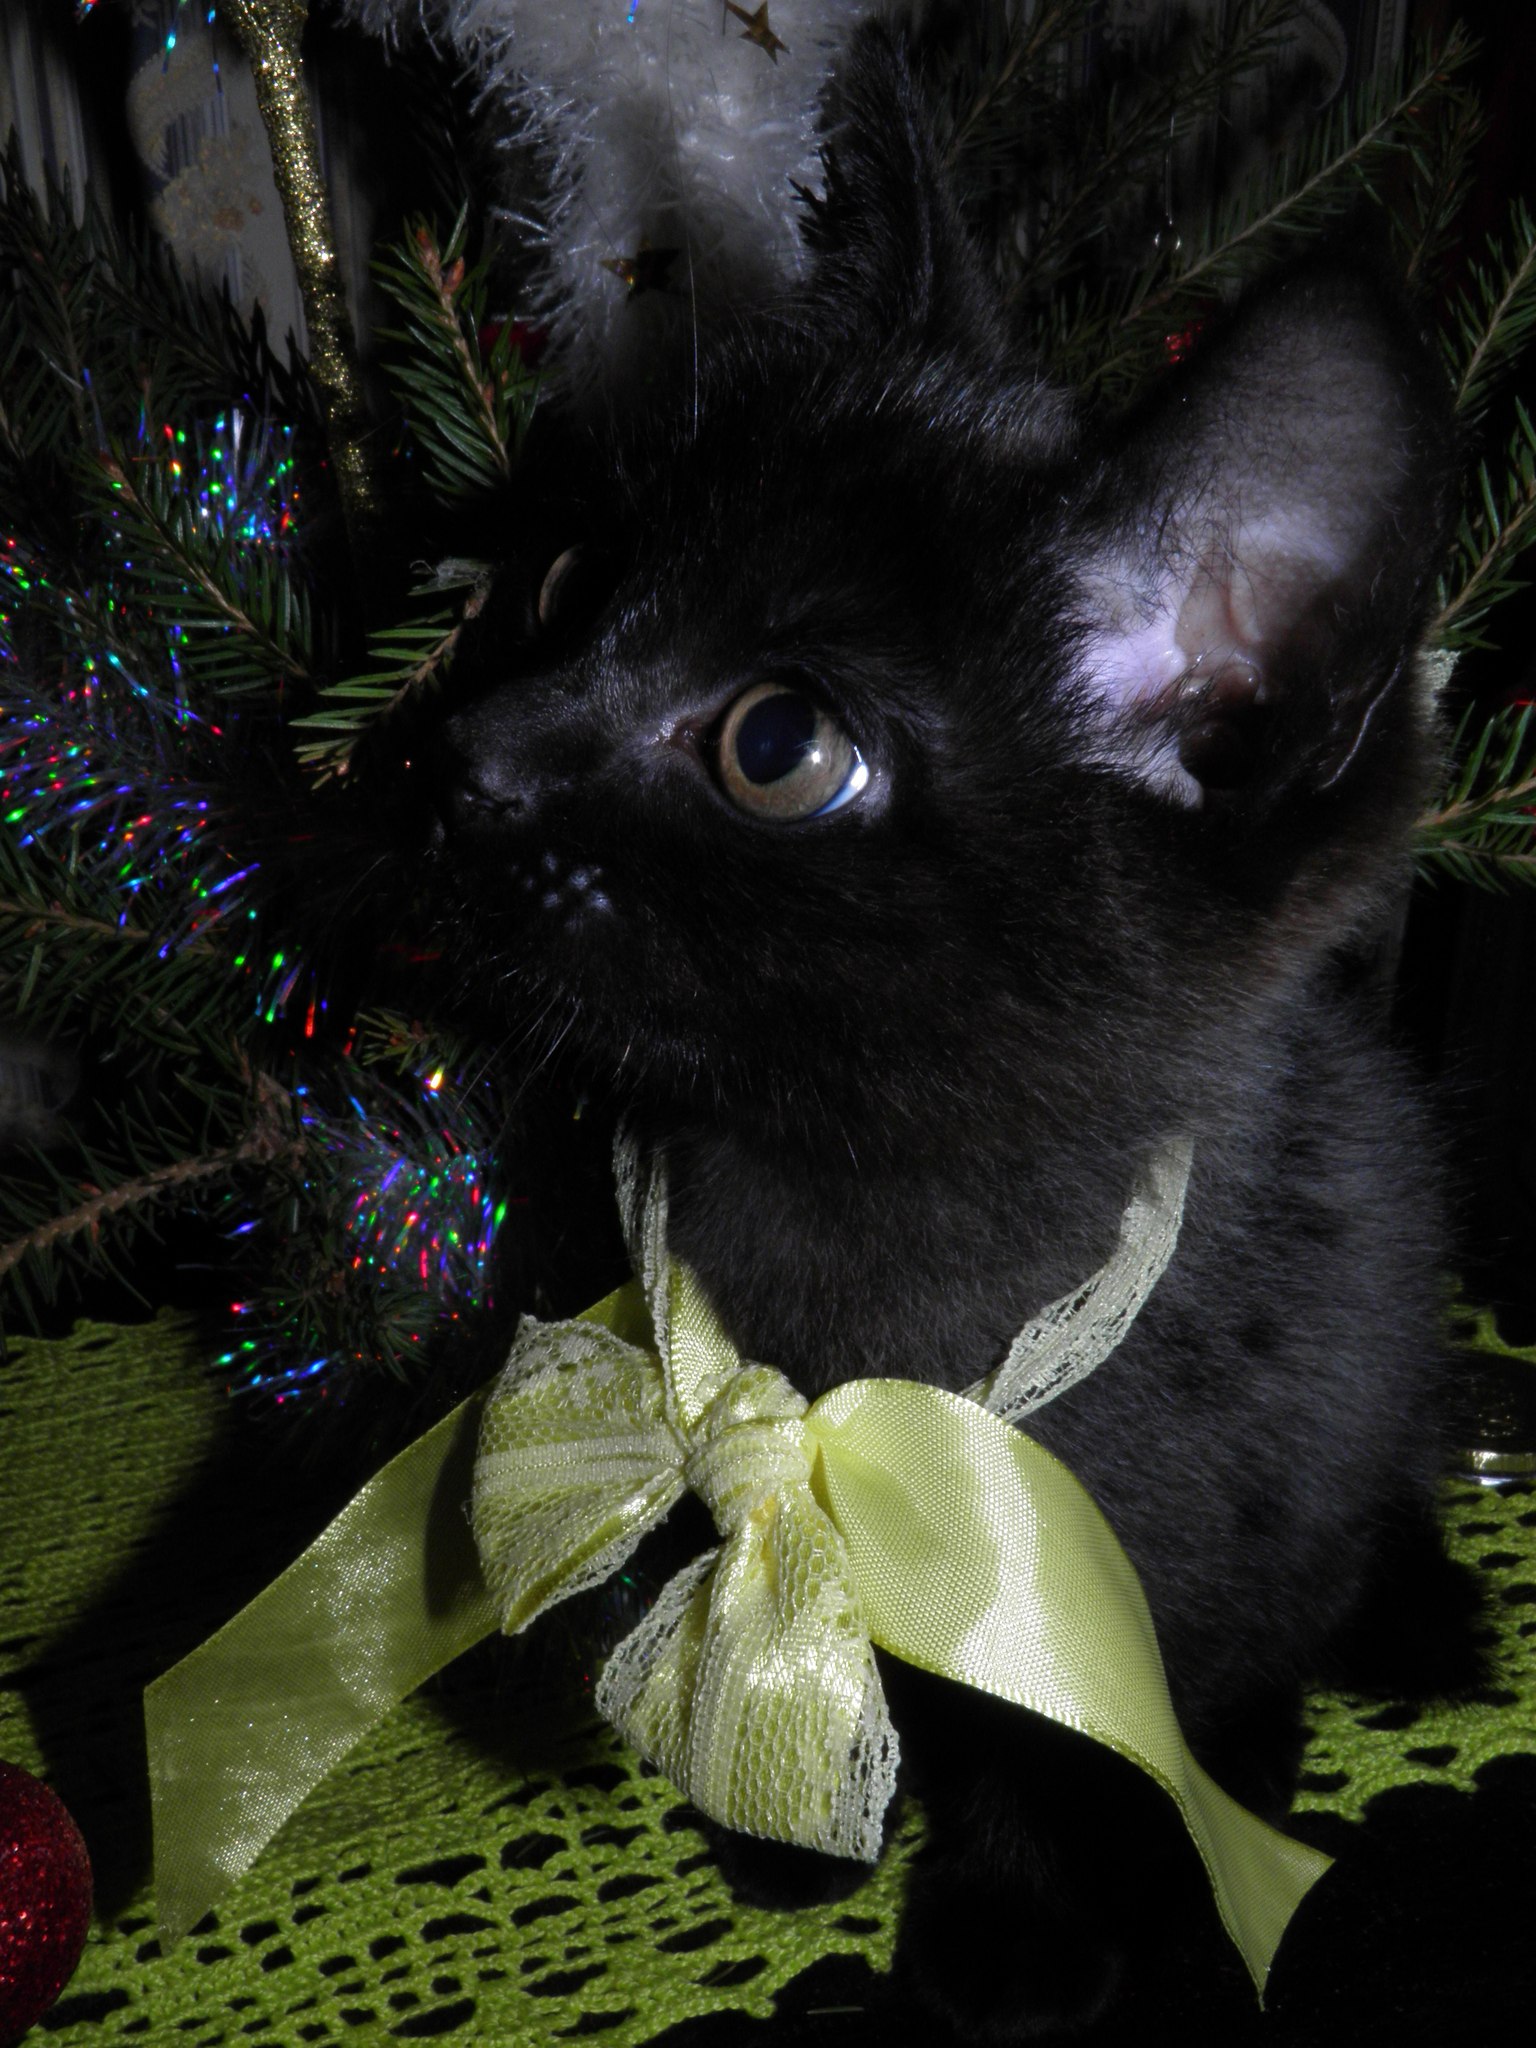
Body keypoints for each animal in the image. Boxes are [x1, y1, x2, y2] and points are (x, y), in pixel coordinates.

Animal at [427, 23, 1476, 2042]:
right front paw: (775, 1799)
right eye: (570, 582)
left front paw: (1012, 1927)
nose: (466, 758)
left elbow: (1074, 1741)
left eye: (778, 742)